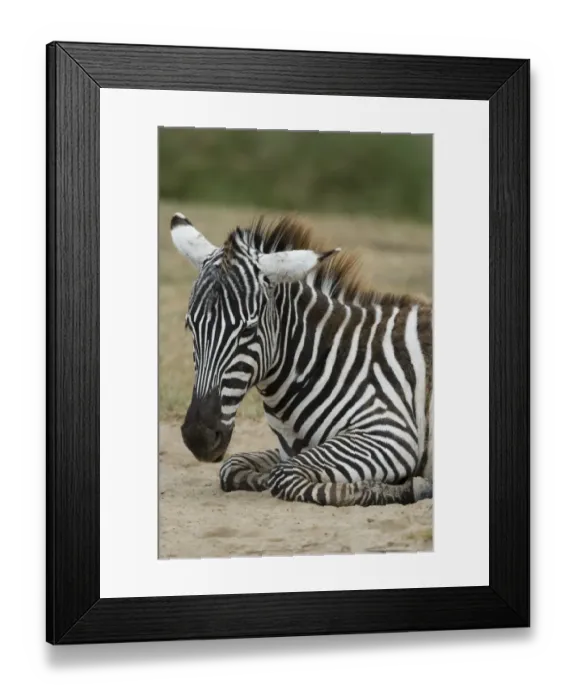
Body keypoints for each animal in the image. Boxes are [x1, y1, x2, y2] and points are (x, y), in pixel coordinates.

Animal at [170, 211, 433, 507]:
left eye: (248, 329)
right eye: (190, 327)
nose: (198, 437)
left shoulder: (390, 432)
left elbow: (285, 477)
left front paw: (407, 487)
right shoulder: (292, 448)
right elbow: (232, 467)